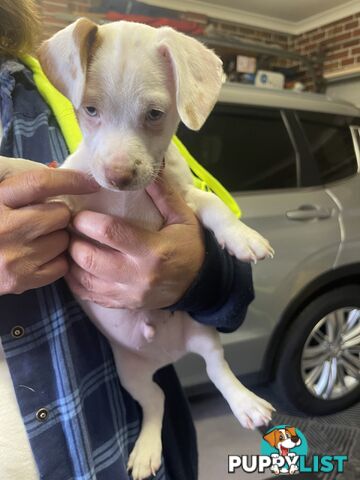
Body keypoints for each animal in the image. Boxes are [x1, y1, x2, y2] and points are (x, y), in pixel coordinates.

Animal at [2, 19, 276, 480]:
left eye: (154, 114)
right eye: (90, 110)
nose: (117, 175)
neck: (125, 198)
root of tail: (164, 355)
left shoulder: (186, 198)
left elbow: (215, 207)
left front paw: (242, 236)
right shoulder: (65, 200)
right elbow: (38, 172)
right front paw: (10, 167)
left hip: (203, 336)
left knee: (216, 370)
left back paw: (246, 404)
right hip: (130, 374)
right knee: (156, 400)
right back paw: (148, 448)